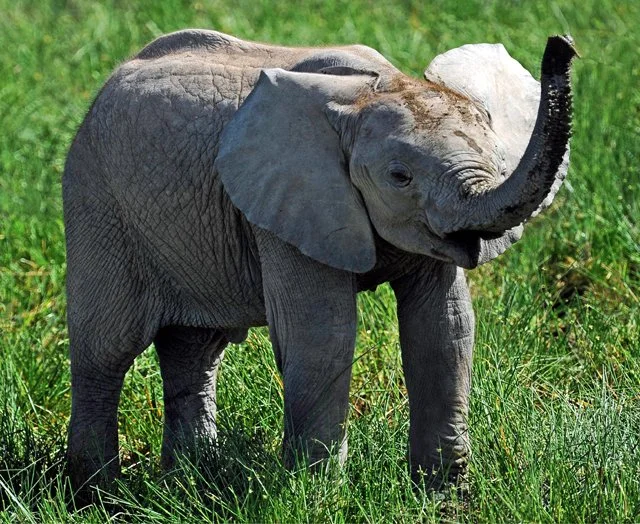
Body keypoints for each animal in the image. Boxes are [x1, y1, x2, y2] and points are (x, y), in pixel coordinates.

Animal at [63, 29, 576, 492]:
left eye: (496, 157)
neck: (374, 91)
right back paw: (95, 493)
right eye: (400, 177)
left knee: (196, 350)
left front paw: (444, 495)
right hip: (98, 201)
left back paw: (189, 481)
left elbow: (444, 328)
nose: (562, 44)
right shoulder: (291, 203)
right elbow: (321, 334)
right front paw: (319, 497)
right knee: (106, 349)